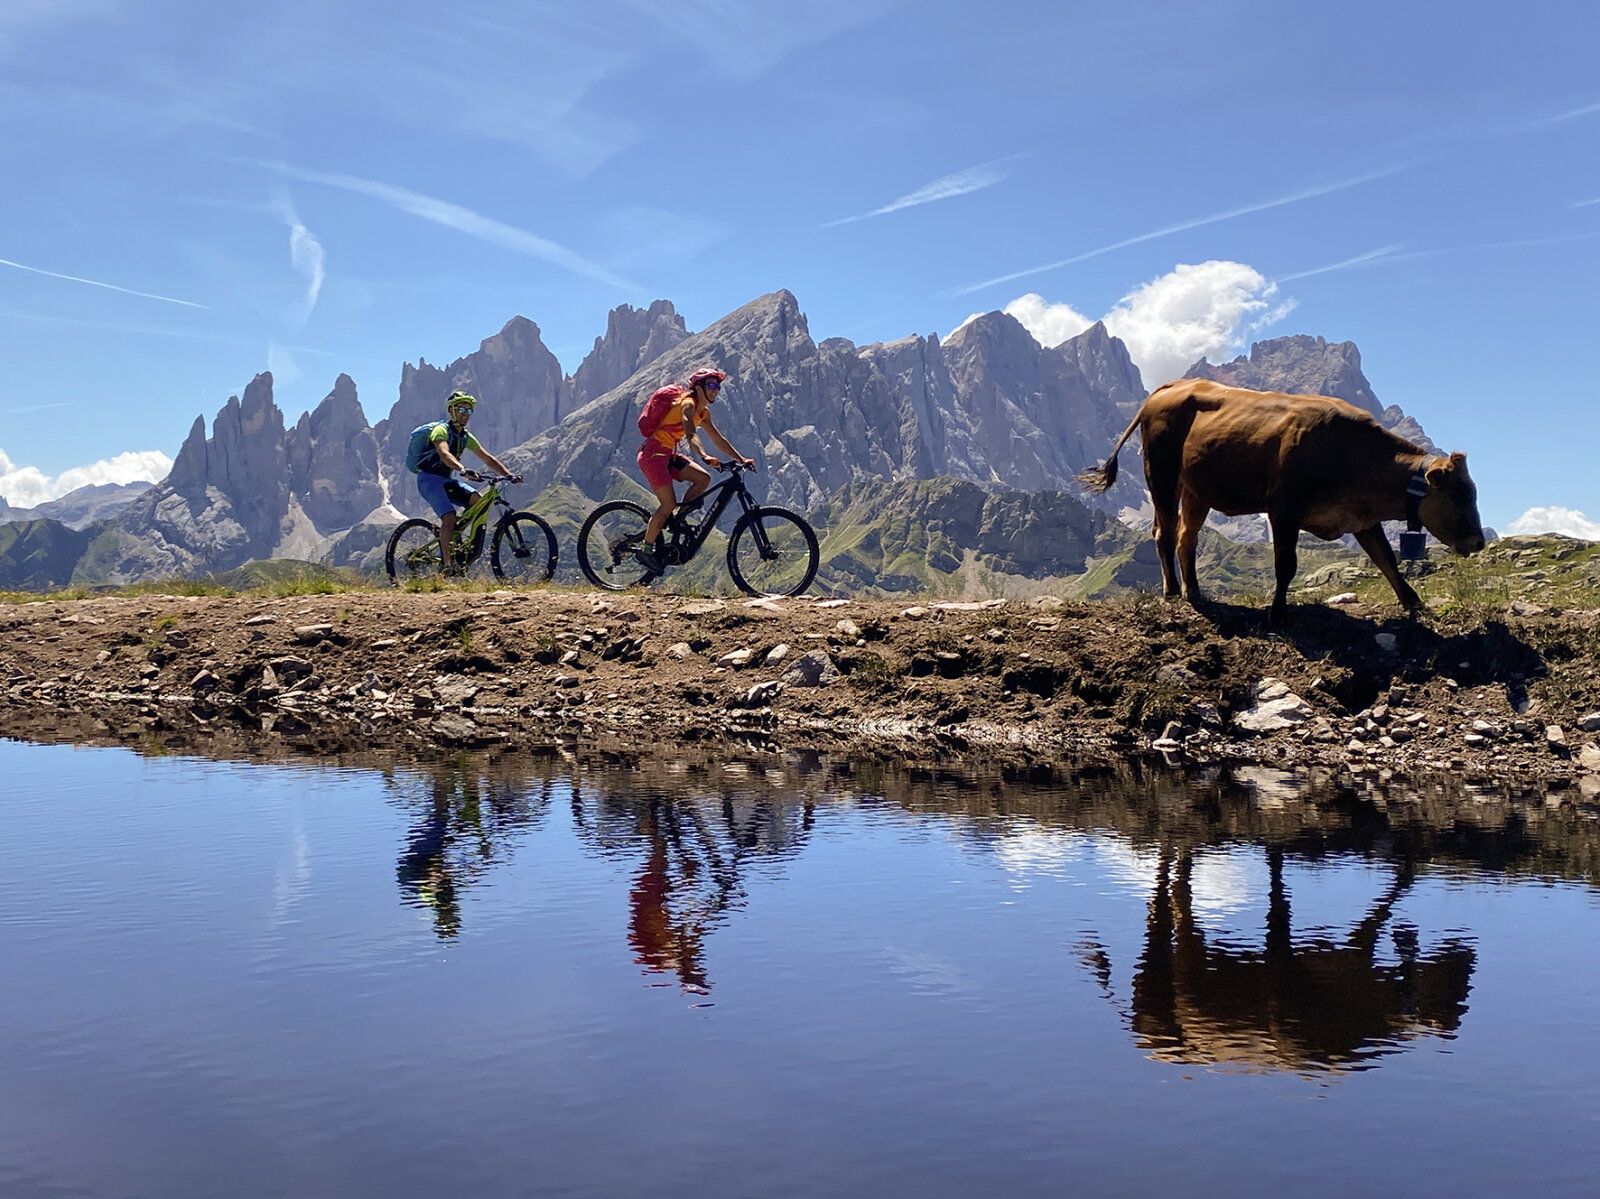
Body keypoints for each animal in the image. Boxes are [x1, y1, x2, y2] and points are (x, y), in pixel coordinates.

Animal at [1081, 380, 1478, 627]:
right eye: (1460, 495)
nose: (1478, 541)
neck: (1351, 452)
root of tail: (1171, 386)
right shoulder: (1283, 509)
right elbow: (1285, 565)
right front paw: (1277, 614)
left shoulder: (1361, 518)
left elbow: (1387, 559)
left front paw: (1413, 602)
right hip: (1162, 477)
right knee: (1164, 533)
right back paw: (1173, 592)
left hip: (1197, 492)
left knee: (1185, 539)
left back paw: (1195, 591)